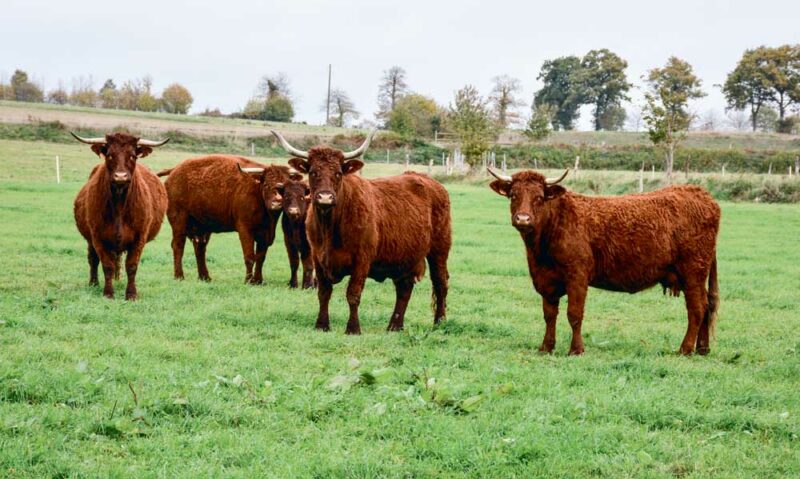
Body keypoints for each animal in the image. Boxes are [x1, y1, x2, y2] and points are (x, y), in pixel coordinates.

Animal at [73, 131, 170, 300]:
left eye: (132, 156)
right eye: (110, 155)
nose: (120, 176)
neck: (119, 205)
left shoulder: (139, 237)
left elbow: (131, 266)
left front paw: (131, 294)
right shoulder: (98, 237)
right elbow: (107, 265)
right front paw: (108, 293)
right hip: (90, 240)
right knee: (93, 259)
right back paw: (93, 283)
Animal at [274, 129, 450, 336]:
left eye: (338, 173)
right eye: (312, 172)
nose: (325, 197)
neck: (330, 228)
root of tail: (428, 180)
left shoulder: (362, 260)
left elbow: (353, 294)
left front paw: (353, 328)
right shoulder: (318, 258)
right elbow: (324, 293)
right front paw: (322, 325)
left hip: (439, 249)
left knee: (440, 282)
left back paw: (439, 322)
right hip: (404, 256)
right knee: (404, 288)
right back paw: (394, 326)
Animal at [484, 169, 720, 356]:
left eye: (540, 197)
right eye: (513, 195)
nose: (523, 219)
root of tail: (703, 195)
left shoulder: (577, 277)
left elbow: (574, 314)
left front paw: (576, 349)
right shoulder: (546, 281)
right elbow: (549, 315)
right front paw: (546, 347)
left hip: (693, 273)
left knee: (697, 309)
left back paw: (685, 349)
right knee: (707, 306)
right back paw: (702, 348)